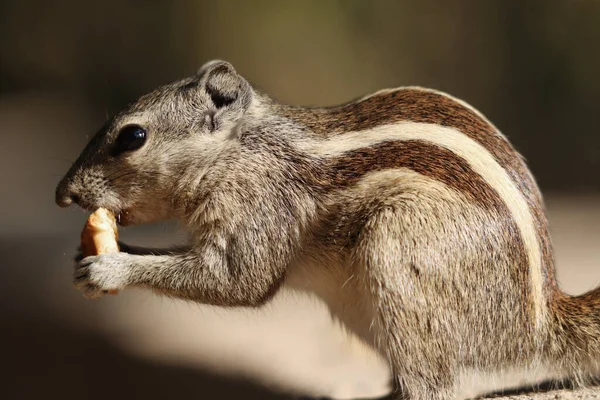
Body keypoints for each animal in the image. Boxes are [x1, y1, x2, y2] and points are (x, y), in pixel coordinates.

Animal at [56, 60, 600, 400]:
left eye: (132, 136)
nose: (64, 193)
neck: (240, 150)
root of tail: (538, 321)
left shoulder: (261, 206)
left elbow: (238, 280)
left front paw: (111, 267)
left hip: (398, 248)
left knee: (437, 387)